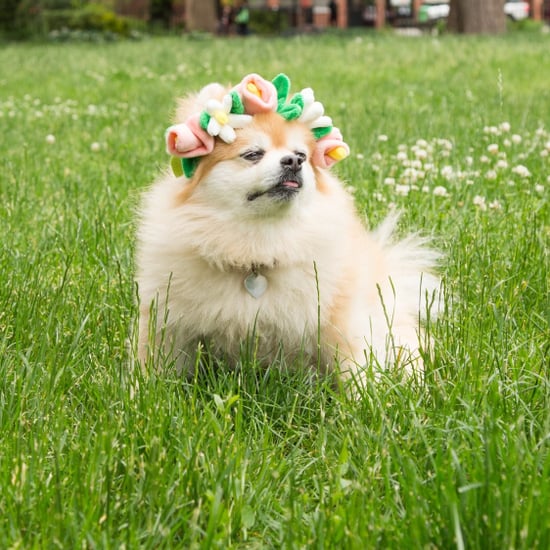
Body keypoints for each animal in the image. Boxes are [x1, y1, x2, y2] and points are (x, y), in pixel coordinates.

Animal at [136, 74, 442, 392]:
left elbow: (355, 367)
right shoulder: (169, 319)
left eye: (301, 155)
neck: (257, 245)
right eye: (253, 154)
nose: (293, 162)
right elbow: (156, 364)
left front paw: (365, 398)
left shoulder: (339, 320)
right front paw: (146, 392)